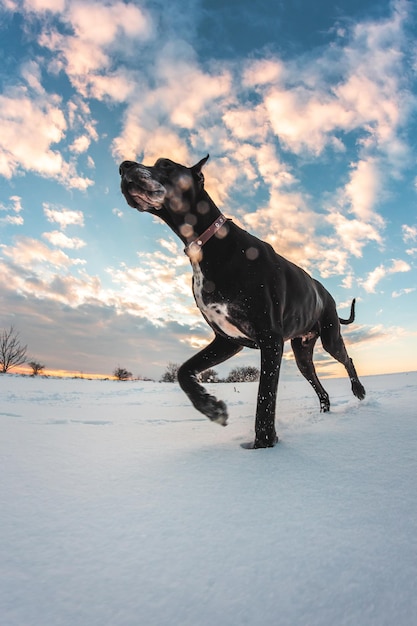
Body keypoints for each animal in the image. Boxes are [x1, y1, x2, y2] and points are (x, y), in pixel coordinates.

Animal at [118, 156, 364, 448]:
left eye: (166, 164)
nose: (123, 166)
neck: (209, 246)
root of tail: (326, 294)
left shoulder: (270, 339)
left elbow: (264, 400)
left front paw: (264, 446)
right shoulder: (227, 340)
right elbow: (183, 372)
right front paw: (211, 407)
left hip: (330, 337)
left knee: (347, 359)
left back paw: (359, 390)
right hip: (303, 354)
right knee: (319, 386)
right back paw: (325, 413)